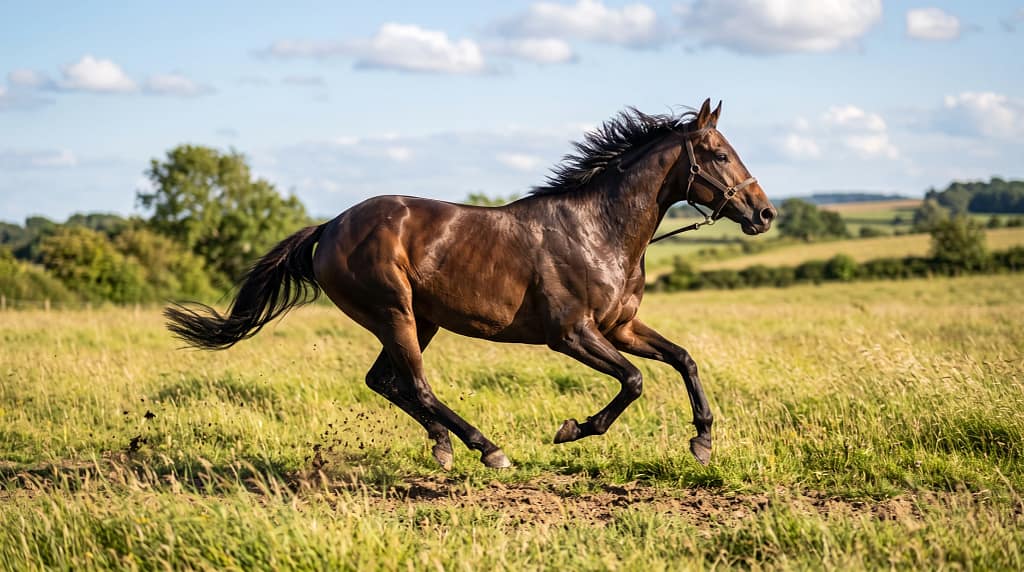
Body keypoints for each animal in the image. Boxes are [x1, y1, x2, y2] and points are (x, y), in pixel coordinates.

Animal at [165, 99, 776, 470]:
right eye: (719, 154)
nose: (765, 213)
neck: (599, 230)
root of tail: (330, 226)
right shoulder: (572, 334)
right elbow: (633, 382)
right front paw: (572, 430)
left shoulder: (620, 327)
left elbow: (683, 359)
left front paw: (702, 441)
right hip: (396, 313)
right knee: (415, 385)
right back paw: (488, 449)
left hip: (420, 320)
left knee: (386, 382)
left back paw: (443, 446)